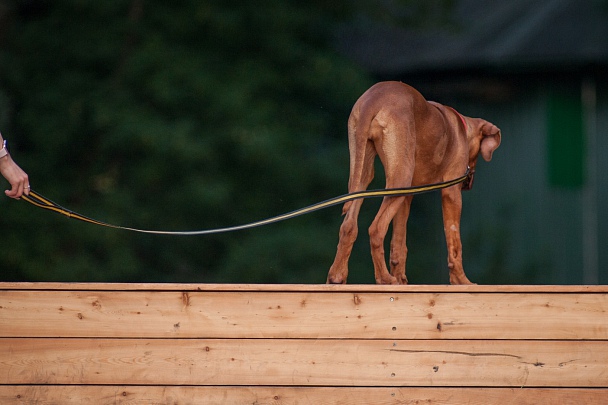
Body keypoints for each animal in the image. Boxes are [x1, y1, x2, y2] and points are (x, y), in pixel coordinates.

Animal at [326, 81, 502, 284]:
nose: (469, 182)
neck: (461, 128)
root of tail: (374, 97)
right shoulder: (451, 194)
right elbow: (454, 243)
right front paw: (461, 281)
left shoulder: (407, 197)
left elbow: (399, 244)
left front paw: (401, 278)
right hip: (401, 176)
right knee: (376, 229)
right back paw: (385, 279)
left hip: (364, 174)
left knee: (348, 226)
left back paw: (337, 277)